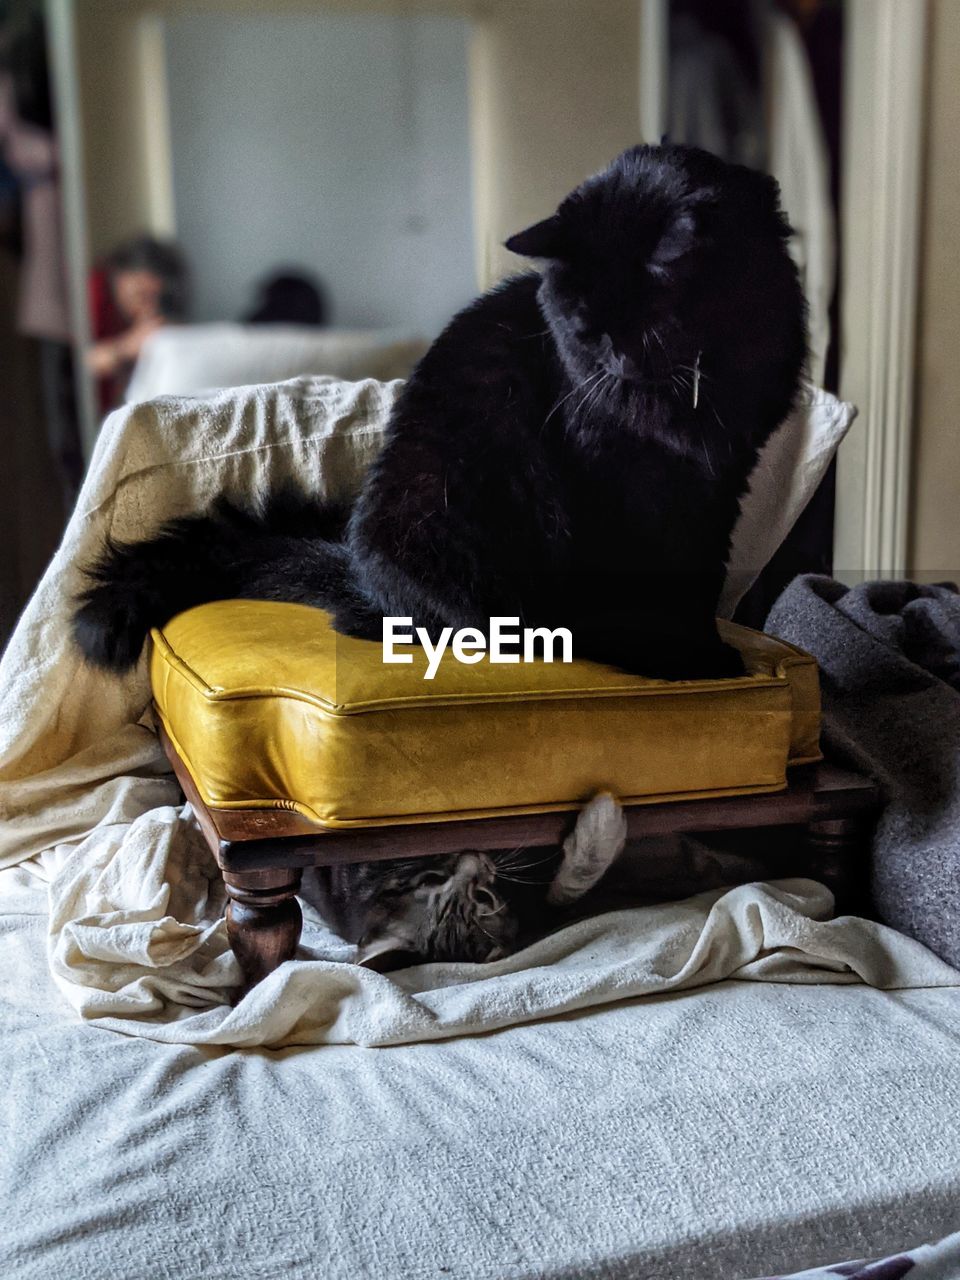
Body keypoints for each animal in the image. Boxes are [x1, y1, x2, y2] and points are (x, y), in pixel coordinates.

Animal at [75, 145, 808, 686]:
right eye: (585, 330)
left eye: (649, 328)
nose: (614, 366)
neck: (695, 394)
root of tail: (355, 569)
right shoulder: (618, 485)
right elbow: (643, 581)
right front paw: (674, 660)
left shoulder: (718, 483)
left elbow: (698, 579)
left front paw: (703, 650)